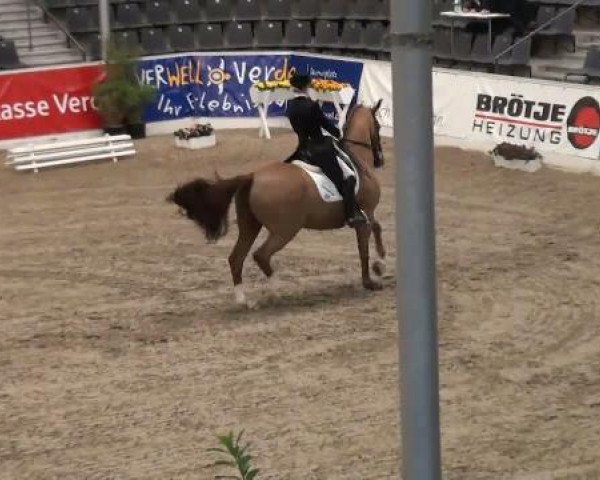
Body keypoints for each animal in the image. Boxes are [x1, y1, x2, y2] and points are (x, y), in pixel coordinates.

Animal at [166, 99, 386, 308]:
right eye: (378, 125)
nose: (380, 160)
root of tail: (252, 177)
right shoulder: (365, 214)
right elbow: (364, 248)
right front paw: (371, 279)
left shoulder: (367, 214)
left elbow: (377, 228)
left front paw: (381, 264)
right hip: (285, 230)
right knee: (261, 255)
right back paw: (274, 291)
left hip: (250, 226)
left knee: (236, 258)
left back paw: (245, 301)